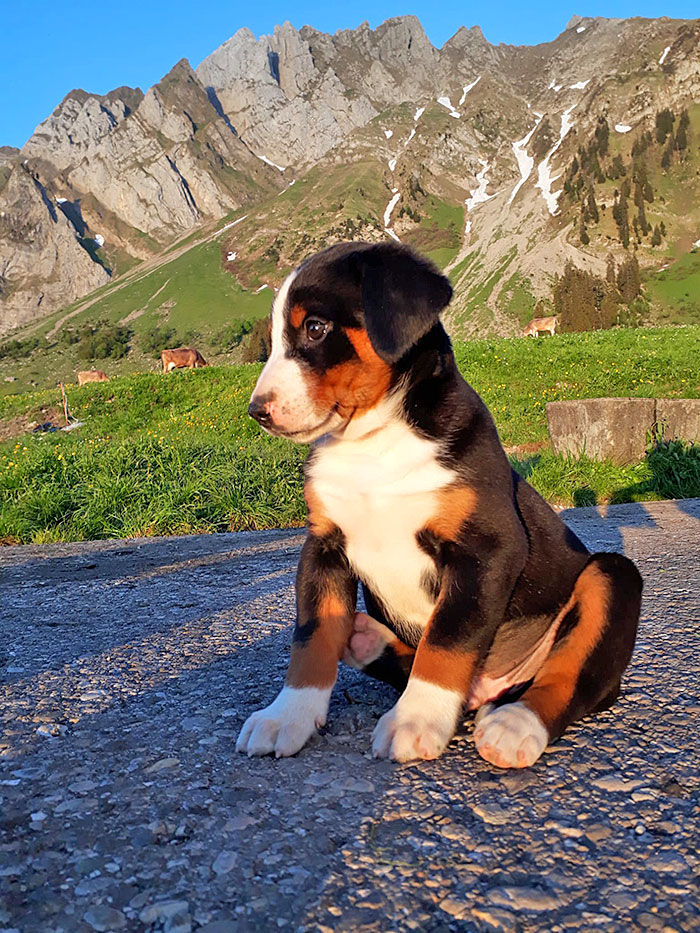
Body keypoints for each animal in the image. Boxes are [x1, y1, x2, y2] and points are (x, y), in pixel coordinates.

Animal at [238, 240, 644, 764]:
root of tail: (492, 689)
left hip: (612, 575)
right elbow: (312, 635)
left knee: (573, 679)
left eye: (315, 328)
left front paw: (414, 721)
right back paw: (367, 639)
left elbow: (447, 640)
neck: (374, 444)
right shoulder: (324, 546)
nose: (257, 411)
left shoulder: (486, 548)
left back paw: (515, 725)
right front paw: (287, 715)